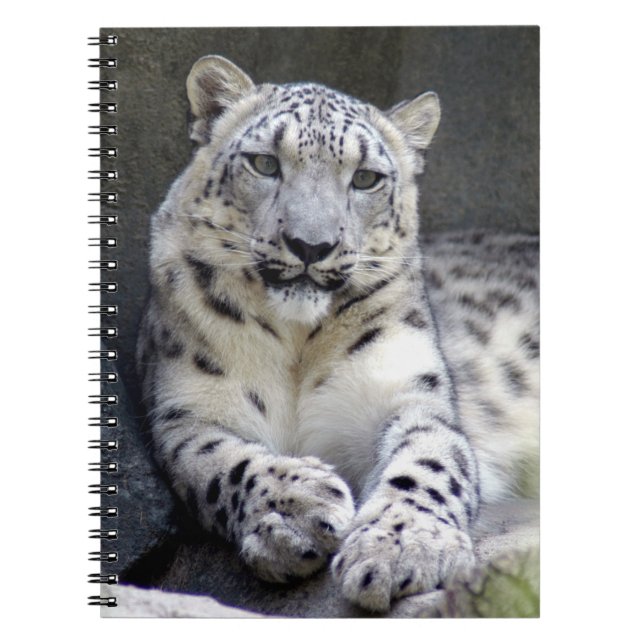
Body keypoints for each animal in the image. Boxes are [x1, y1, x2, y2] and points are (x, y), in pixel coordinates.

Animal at [136, 55, 539, 613]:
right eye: (265, 163)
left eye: (366, 178)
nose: (311, 245)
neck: (295, 345)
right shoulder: (185, 412)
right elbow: (219, 463)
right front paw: (296, 512)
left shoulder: (407, 392)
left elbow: (429, 458)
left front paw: (401, 546)